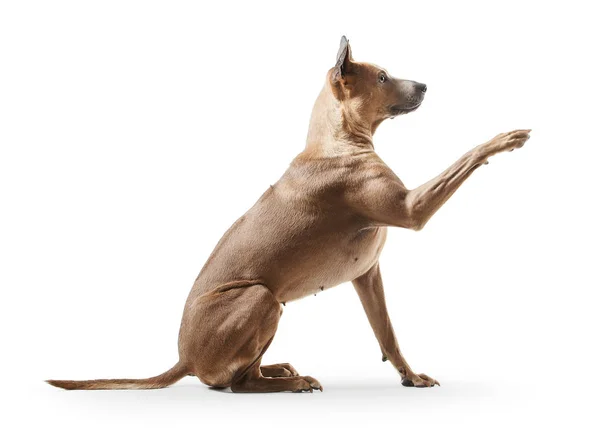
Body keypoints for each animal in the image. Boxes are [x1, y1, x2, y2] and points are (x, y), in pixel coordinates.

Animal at [49, 36, 532, 392]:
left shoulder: (368, 275)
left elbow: (388, 334)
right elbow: (465, 157)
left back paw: (279, 369)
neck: (337, 140)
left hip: (273, 305)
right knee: (235, 384)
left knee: (246, 372)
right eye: (382, 76)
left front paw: (410, 377)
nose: (426, 85)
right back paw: (290, 383)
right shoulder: (411, 209)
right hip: (260, 296)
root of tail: (184, 359)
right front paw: (505, 139)